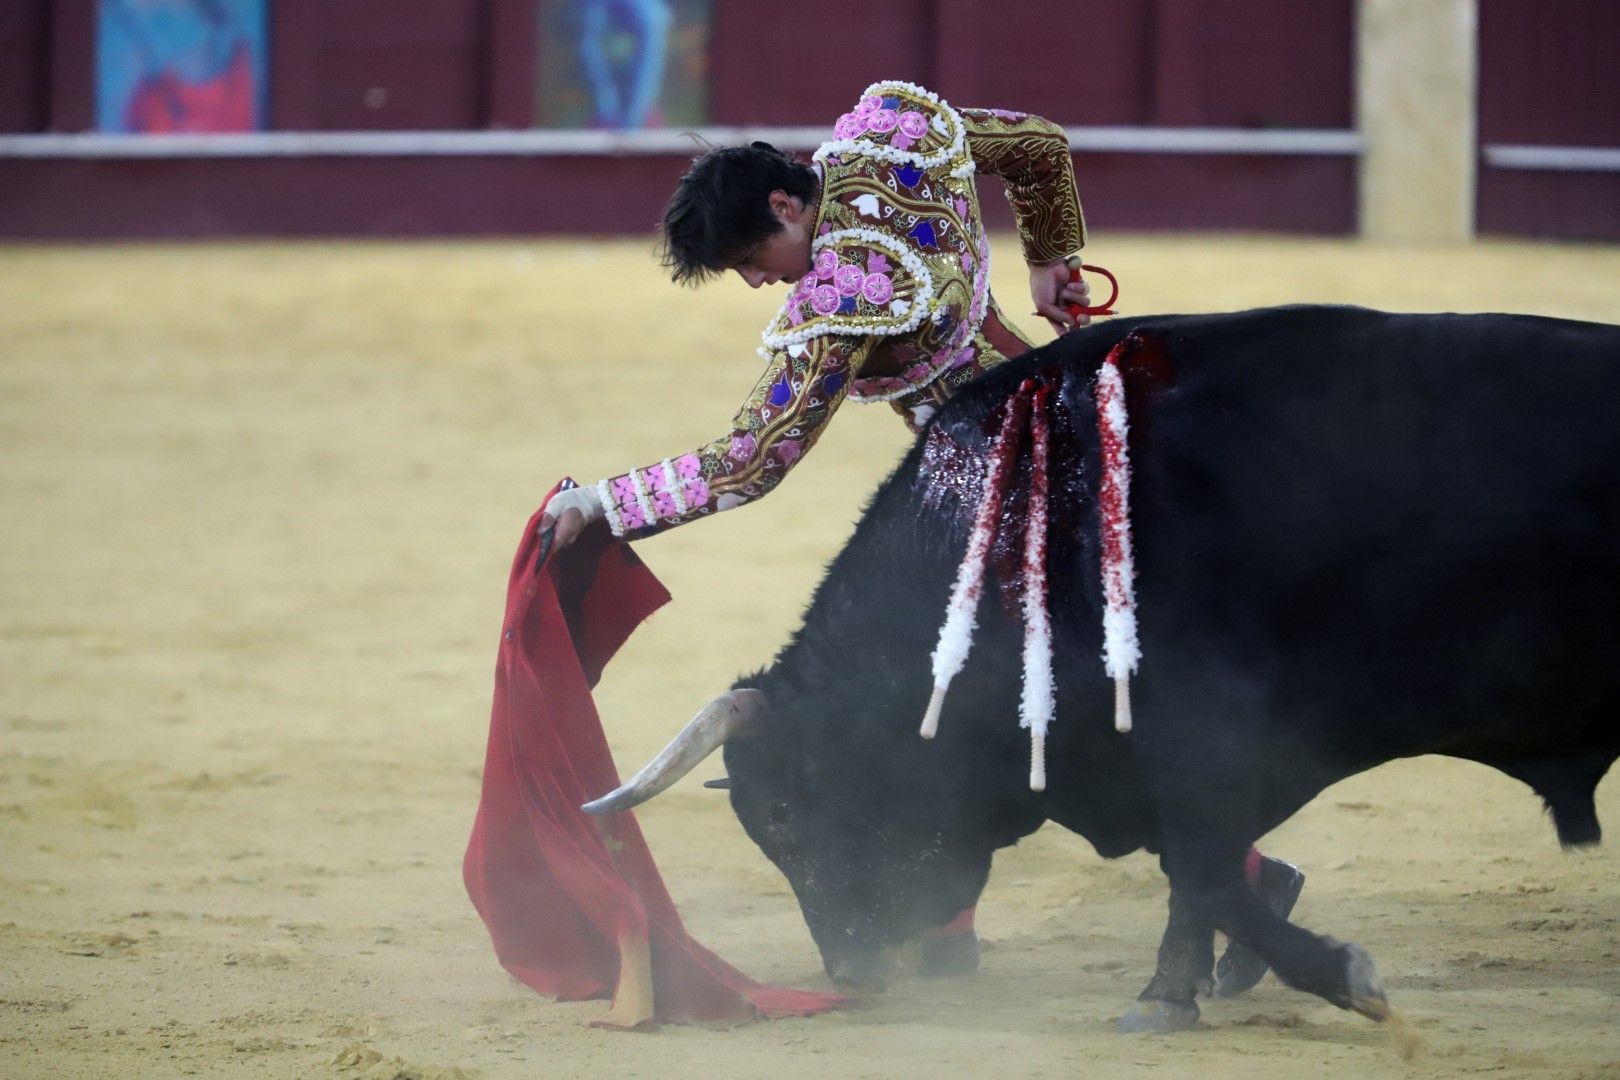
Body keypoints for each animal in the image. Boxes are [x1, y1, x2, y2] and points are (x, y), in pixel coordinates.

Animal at [592, 304, 1620, 1029]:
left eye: (781, 814)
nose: (853, 971)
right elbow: (1194, 872)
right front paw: (1171, 994)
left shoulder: (1204, 730)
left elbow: (1200, 868)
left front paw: (1337, 975)